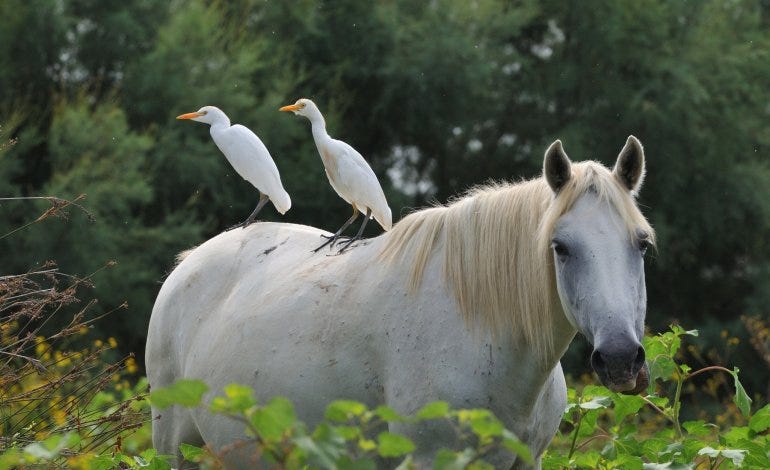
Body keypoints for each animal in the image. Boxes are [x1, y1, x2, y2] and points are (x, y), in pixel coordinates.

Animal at [146, 135, 656, 466]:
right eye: (560, 247)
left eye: (642, 244)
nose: (619, 359)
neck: (482, 329)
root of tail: (190, 263)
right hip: (173, 446)